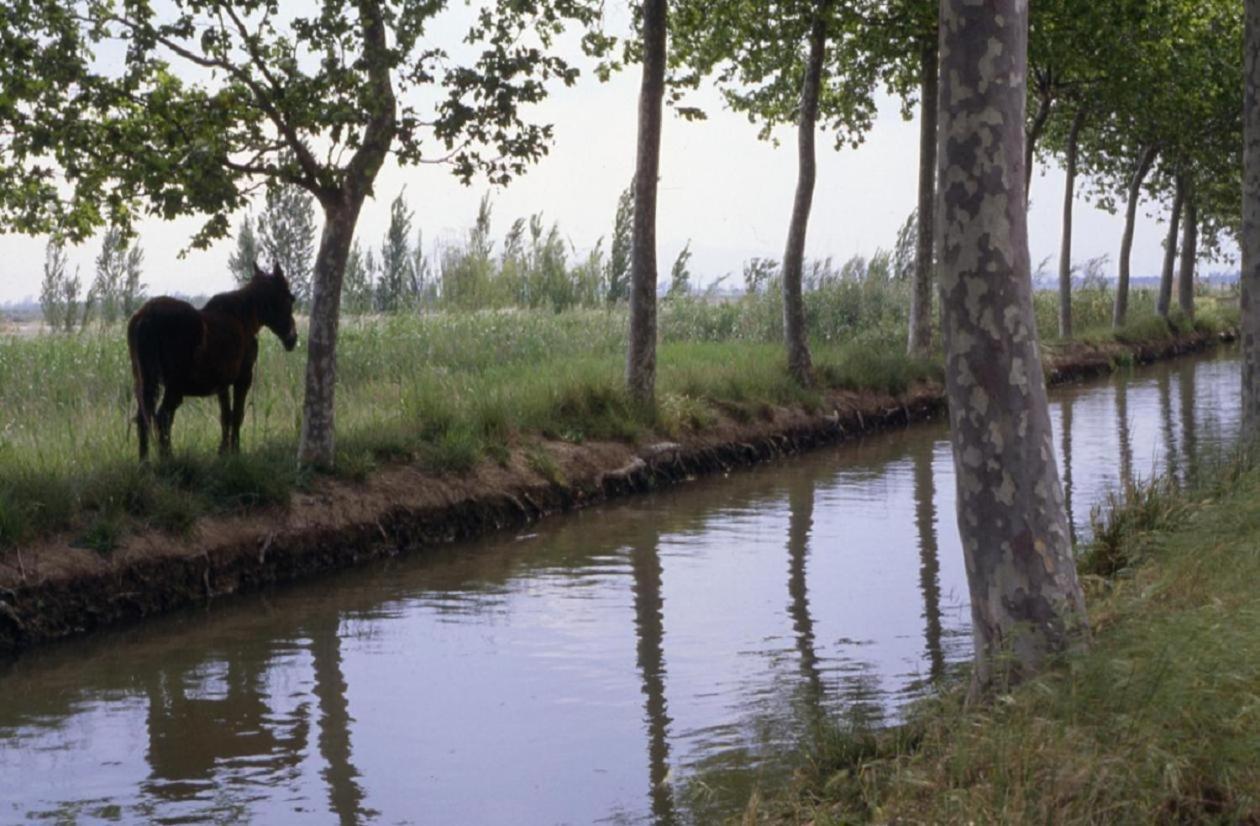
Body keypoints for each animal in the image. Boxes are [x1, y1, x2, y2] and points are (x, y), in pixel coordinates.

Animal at [128, 263, 299, 460]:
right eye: (290, 299)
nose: (292, 338)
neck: (244, 318)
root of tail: (145, 316)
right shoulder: (243, 378)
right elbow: (237, 414)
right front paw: (235, 450)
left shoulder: (222, 384)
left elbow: (225, 416)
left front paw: (223, 451)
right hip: (174, 386)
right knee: (163, 418)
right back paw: (167, 458)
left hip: (144, 382)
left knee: (144, 418)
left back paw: (144, 460)